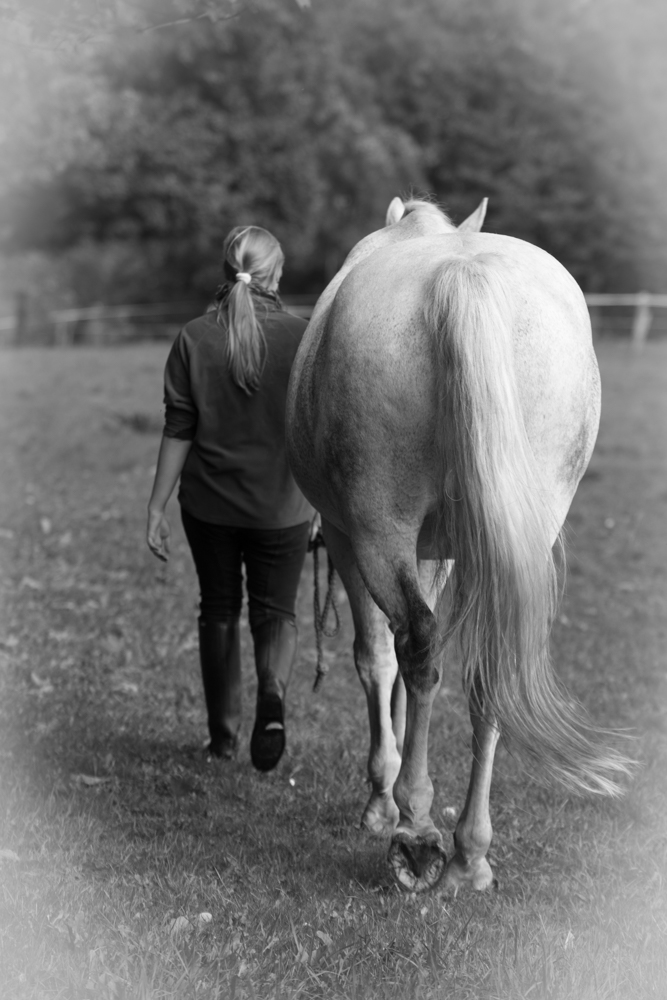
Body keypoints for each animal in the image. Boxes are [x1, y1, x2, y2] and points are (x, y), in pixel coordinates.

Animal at [288, 195, 632, 892]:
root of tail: (460, 275)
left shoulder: (349, 536)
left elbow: (379, 658)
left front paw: (382, 796)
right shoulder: (441, 551)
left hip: (377, 529)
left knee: (415, 649)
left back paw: (417, 833)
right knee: (488, 668)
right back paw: (469, 854)